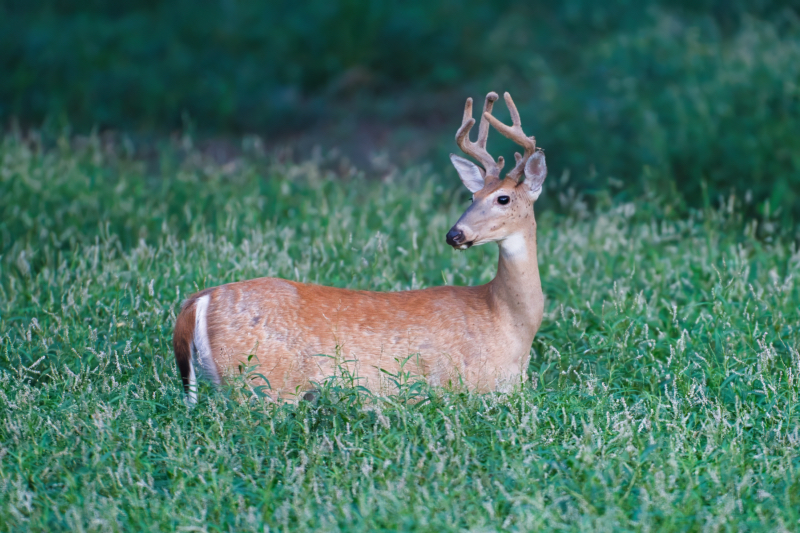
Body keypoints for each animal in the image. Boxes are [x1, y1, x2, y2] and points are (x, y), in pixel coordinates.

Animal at [172, 91, 548, 404]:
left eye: (502, 198)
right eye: (472, 197)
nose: (454, 234)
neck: (508, 323)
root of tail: (198, 301)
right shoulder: (466, 384)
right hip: (264, 382)